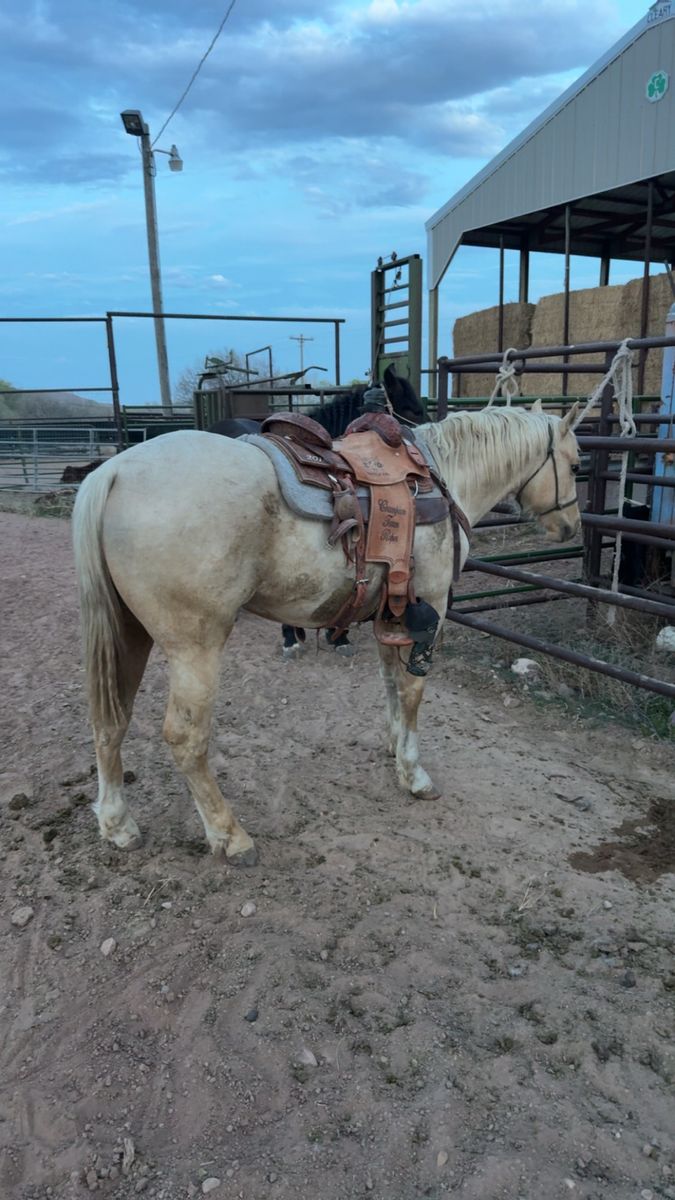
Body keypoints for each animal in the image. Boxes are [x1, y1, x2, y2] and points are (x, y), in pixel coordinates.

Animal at [72, 401, 581, 865]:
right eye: (577, 464)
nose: (572, 526)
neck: (443, 477)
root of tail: (114, 471)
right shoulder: (430, 606)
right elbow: (413, 691)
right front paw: (415, 775)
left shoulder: (391, 614)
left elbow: (391, 685)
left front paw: (395, 746)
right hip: (195, 648)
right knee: (185, 738)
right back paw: (230, 836)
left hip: (129, 633)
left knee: (109, 721)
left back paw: (117, 824)